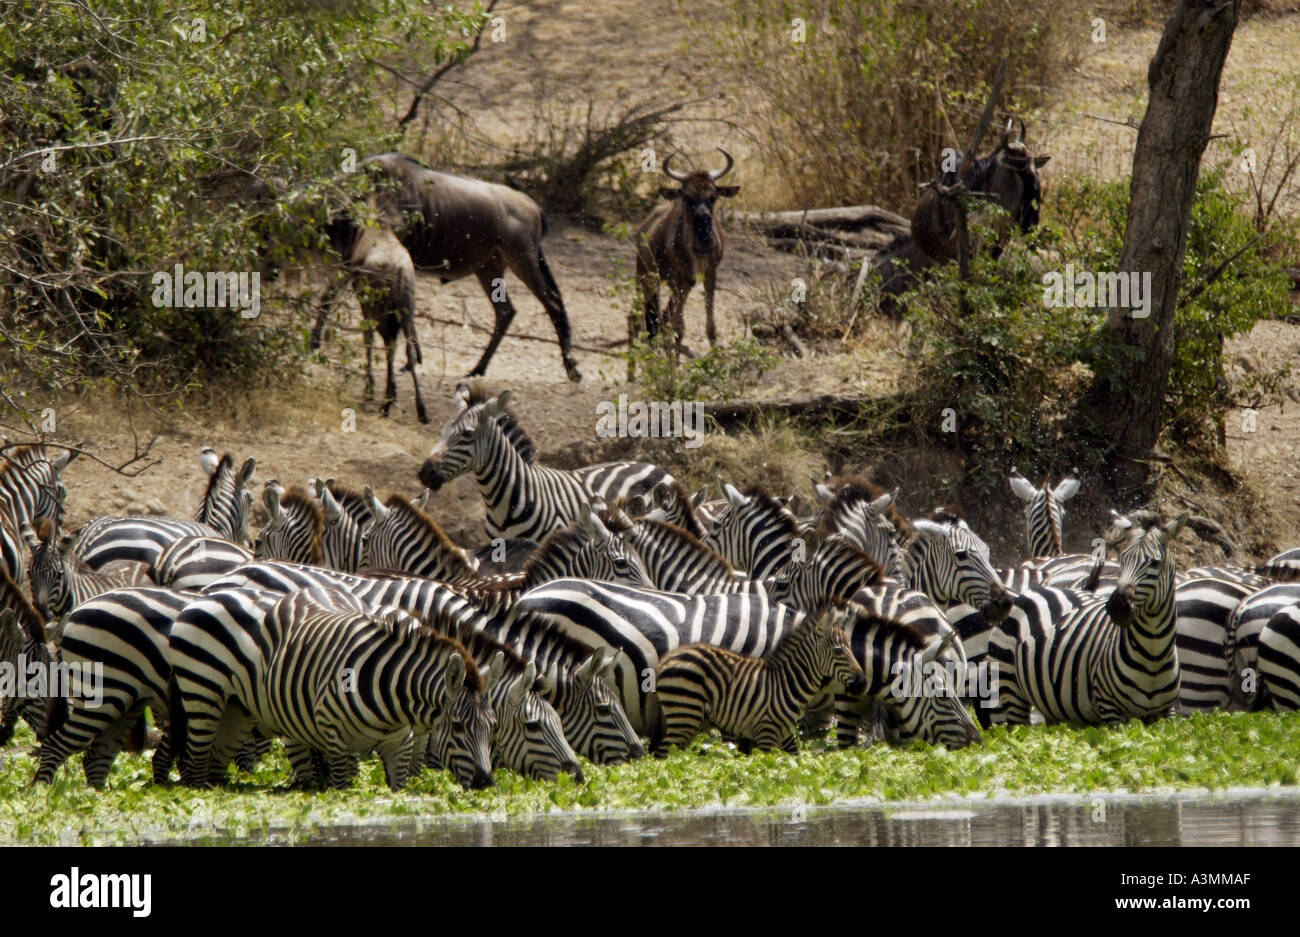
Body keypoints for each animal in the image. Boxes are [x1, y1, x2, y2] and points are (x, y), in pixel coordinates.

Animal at [36, 587, 191, 787]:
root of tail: (77, 610)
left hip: (126, 701)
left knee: (97, 757)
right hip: (102, 695)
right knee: (55, 746)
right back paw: (42, 789)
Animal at [648, 610, 867, 754]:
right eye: (838, 651)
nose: (863, 682)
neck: (787, 683)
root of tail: (667, 658)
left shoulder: (784, 735)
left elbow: (793, 760)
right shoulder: (766, 732)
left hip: (684, 720)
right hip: (684, 716)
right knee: (662, 755)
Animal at [987, 513, 1189, 726]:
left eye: (1155, 563)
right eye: (1122, 560)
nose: (1117, 607)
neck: (1153, 654)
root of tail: (1038, 588)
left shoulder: (1168, 712)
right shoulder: (1110, 708)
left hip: (1052, 705)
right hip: (1010, 688)